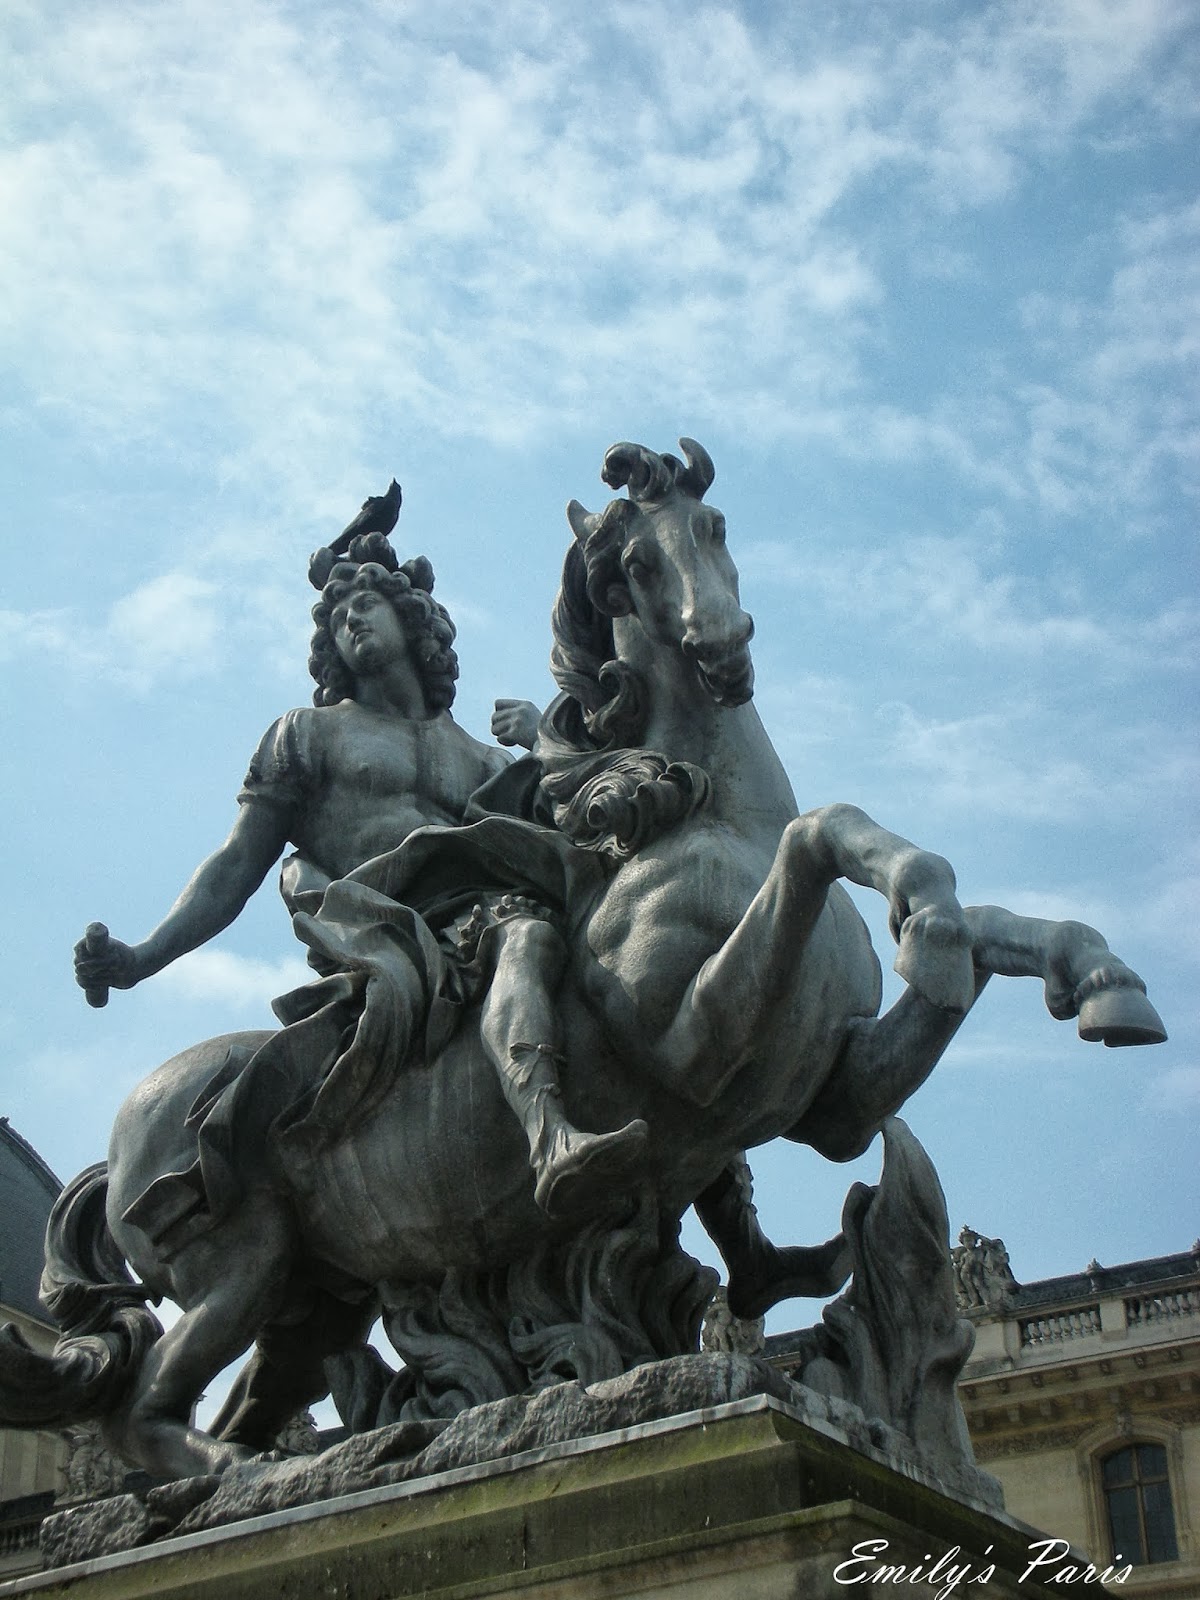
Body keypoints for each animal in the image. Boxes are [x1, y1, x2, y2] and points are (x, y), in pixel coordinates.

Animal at [2, 441, 1164, 1484]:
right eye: (632, 565)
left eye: (715, 525)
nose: (722, 645)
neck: (711, 815)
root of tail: (129, 1120)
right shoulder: (699, 1042)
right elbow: (825, 832)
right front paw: (931, 926)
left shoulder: (834, 1097)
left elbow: (962, 915)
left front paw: (1093, 976)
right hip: (235, 1262)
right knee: (147, 1413)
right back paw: (244, 1473)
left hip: (307, 1290)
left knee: (247, 1389)